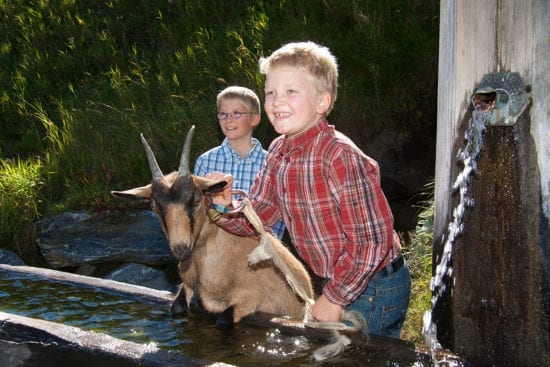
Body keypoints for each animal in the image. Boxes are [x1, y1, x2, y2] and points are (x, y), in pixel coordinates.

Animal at [112, 127, 314, 324]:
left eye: (196, 200)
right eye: (155, 207)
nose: (181, 249)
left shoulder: (253, 299)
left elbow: (223, 319)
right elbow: (177, 307)